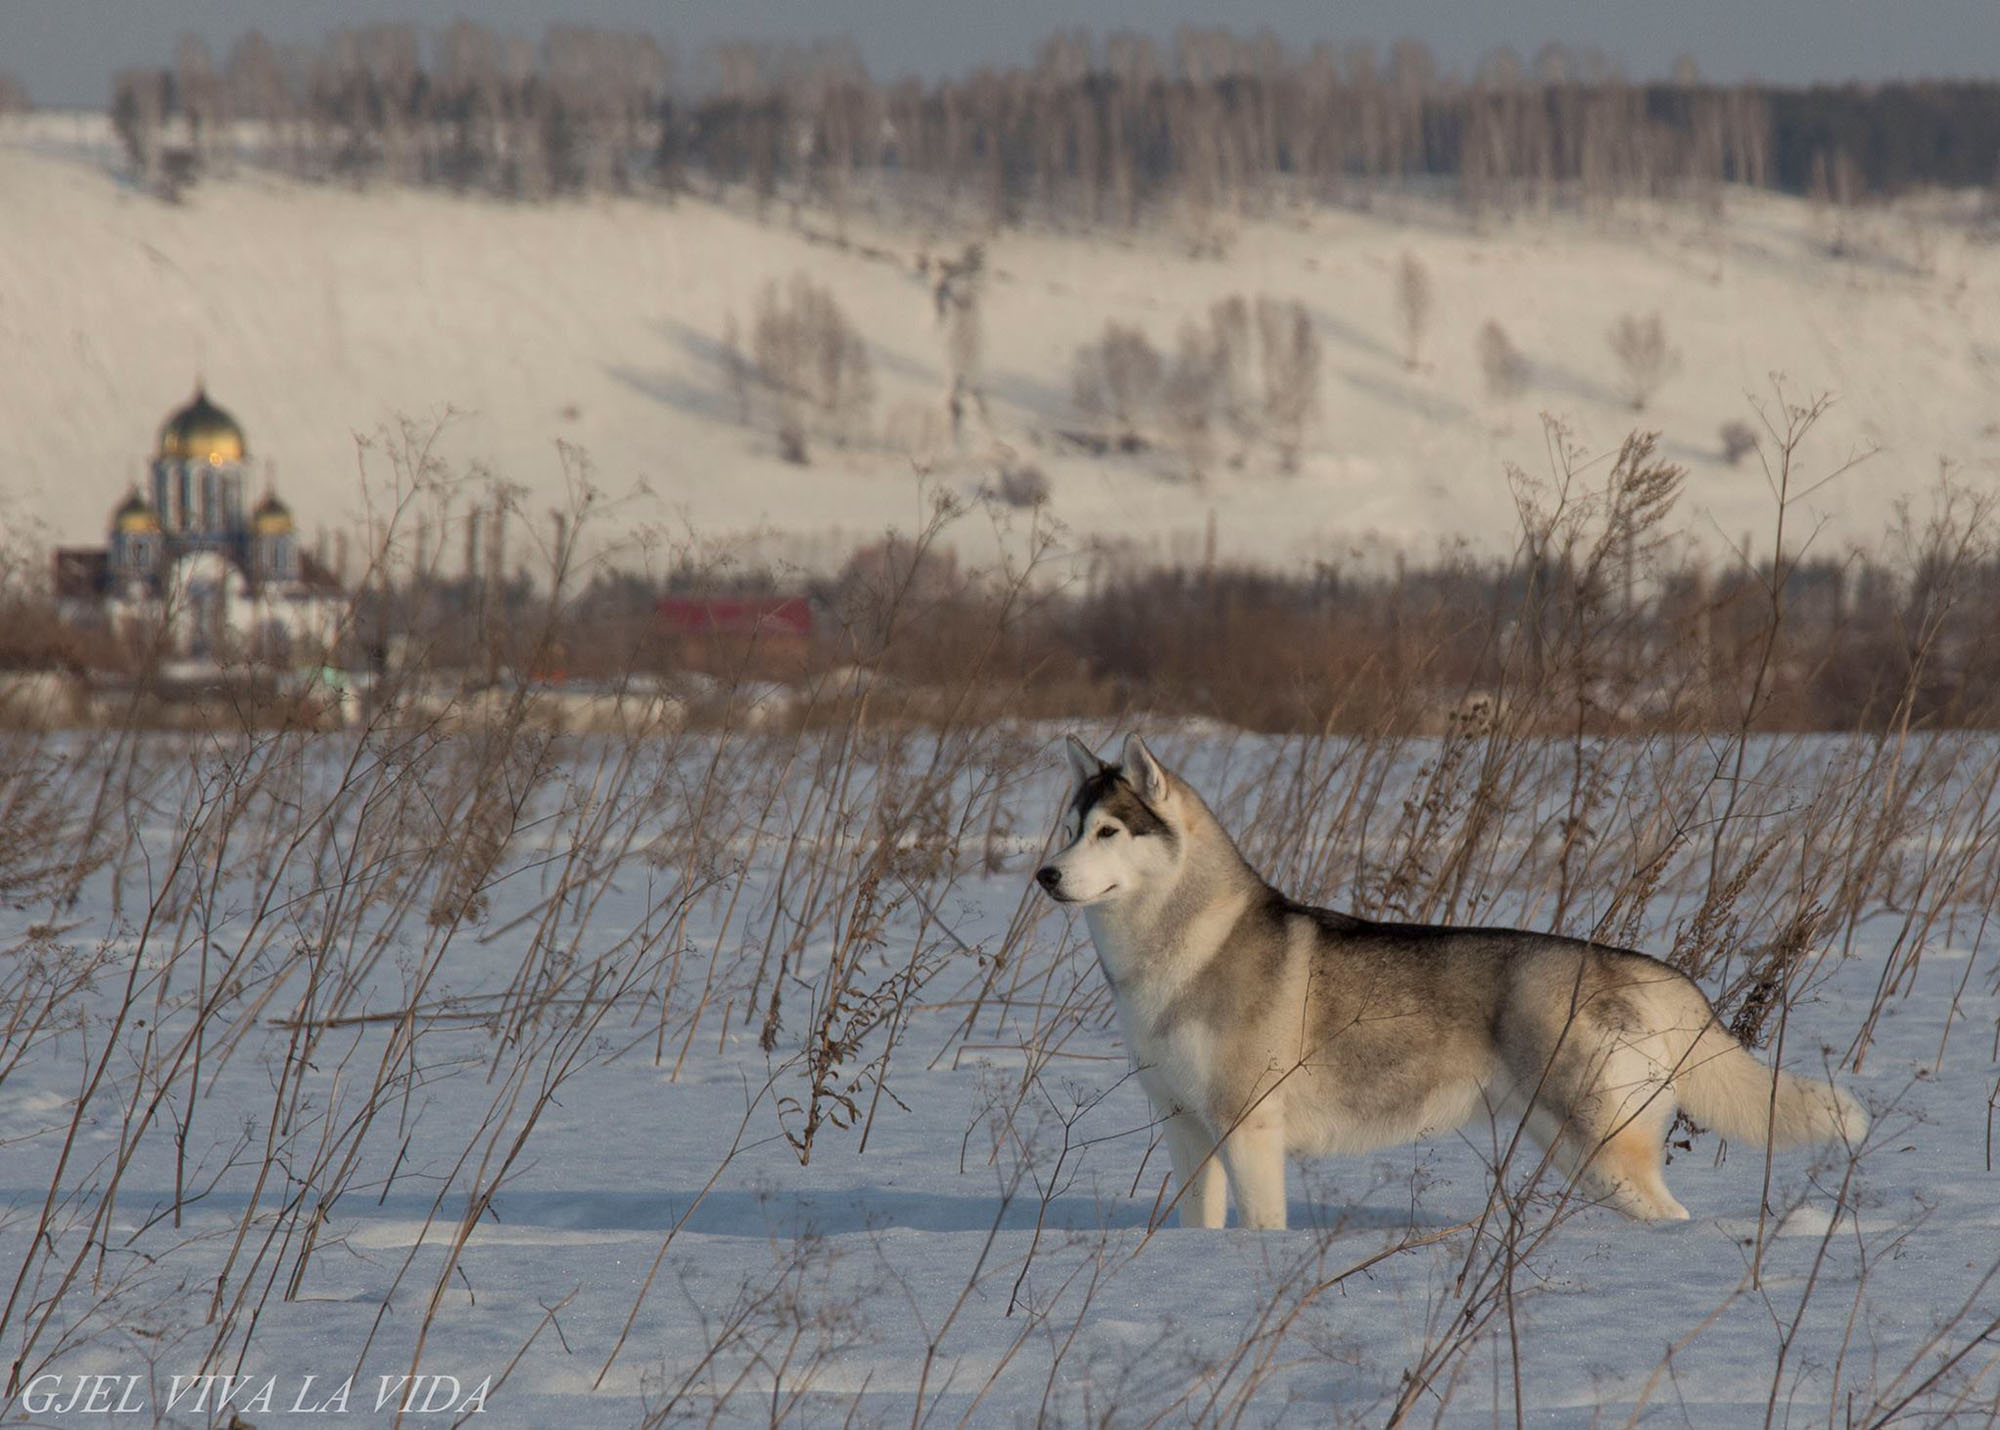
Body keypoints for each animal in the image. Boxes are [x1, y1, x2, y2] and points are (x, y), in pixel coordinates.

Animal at [1040, 740, 1864, 1232]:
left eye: (1110, 832)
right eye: (1071, 829)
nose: (1045, 874)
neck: (1178, 953)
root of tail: (1643, 965)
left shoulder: (1250, 1132)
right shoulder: (1185, 1128)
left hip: (1601, 1148)